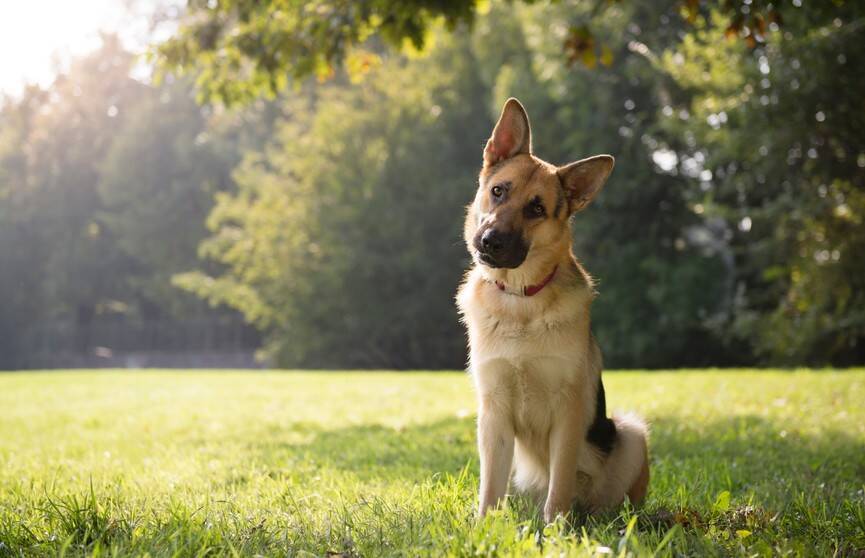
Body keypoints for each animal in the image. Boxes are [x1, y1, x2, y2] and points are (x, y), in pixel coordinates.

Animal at [452, 98, 648, 524]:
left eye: (536, 209)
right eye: (498, 191)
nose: (489, 242)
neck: (520, 299)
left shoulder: (568, 414)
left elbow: (560, 484)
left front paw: (556, 529)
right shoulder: (493, 415)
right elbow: (489, 487)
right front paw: (484, 527)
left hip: (631, 433)